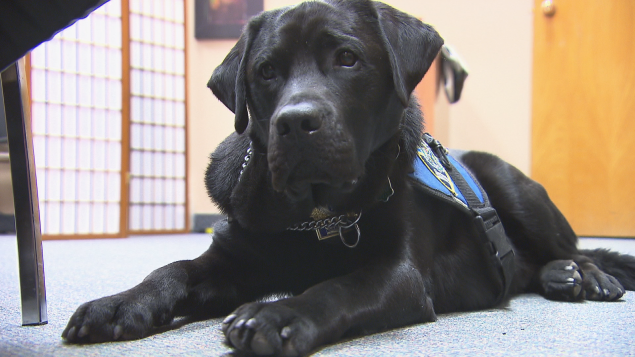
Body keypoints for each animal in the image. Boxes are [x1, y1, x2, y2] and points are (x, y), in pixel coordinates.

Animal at [63, 1, 635, 354]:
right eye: (265, 72)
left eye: (347, 59)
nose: (295, 122)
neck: (312, 216)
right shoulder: (234, 259)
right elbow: (174, 269)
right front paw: (119, 304)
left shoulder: (401, 274)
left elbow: (338, 286)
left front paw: (275, 316)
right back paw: (559, 277)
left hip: (513, 188)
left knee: (574, 247)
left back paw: (584, 275)